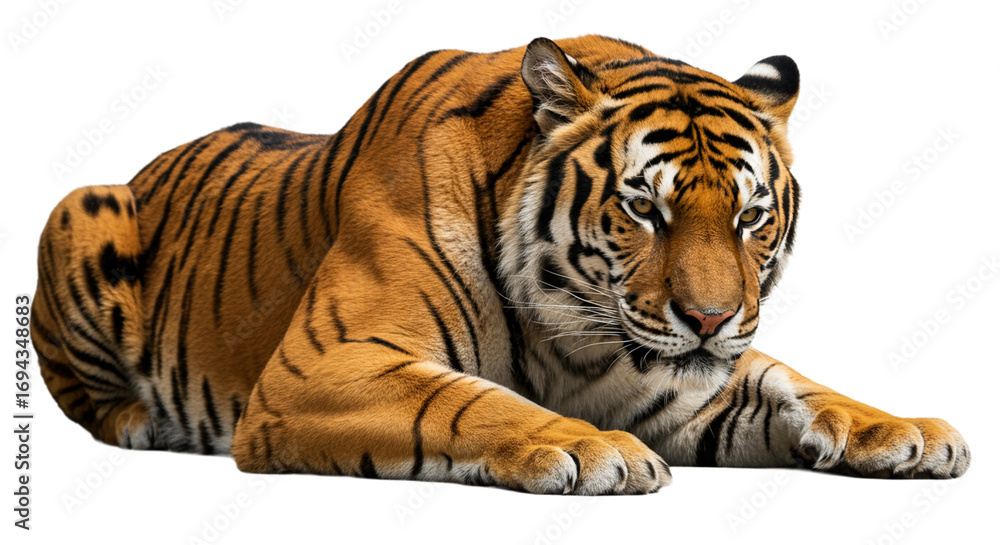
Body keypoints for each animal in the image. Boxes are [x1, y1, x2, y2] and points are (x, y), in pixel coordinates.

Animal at [30, 35, 969, 494]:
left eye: (750, 217)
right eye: (646, 209)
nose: (708, 320)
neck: (571, 334)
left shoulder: (675, 381)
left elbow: (791, 382)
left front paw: (908, 431)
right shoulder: (321, 366)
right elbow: (467, 399)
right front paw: (595, 450)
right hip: (80, 206)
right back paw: (138, 420)